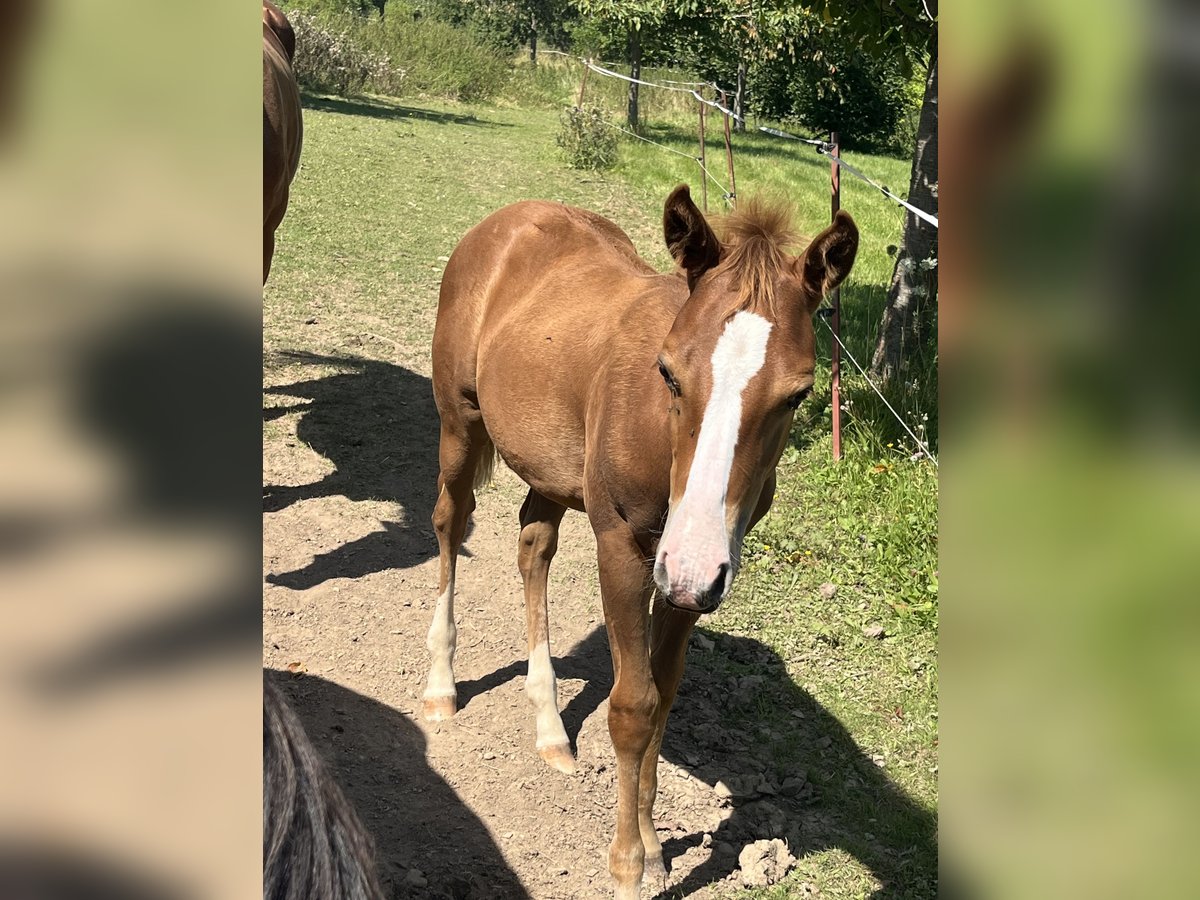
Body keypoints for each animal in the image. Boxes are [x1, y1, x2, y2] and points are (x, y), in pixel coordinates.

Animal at [422, 187, 854, 897]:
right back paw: (440, 687)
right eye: (668, 373)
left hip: (552, 468)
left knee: (533, 545)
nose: (693, 564)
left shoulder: (687, 576)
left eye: (799, 394)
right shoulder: (626, 548)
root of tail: (508, 219)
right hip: (460, 423)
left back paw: (550, 727)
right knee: (450, 526)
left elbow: (664, 694)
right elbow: (631, 704)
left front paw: (652, 846)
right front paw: (627, 863)